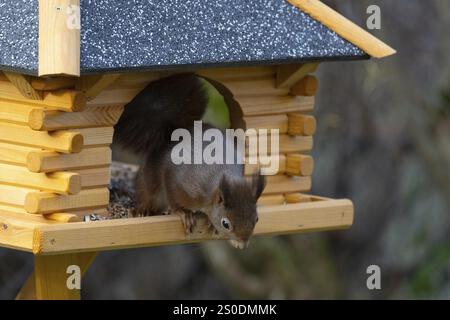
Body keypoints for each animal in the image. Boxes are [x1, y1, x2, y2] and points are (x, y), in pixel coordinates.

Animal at [114, 74, 266, 249]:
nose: (242, 245)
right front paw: (184, 213)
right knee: (147, 195)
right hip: (150, 183)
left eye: (257, 219)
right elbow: (174, 198)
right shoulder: (180, 182)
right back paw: (141, 211)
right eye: (225, 223)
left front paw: (210, 222)